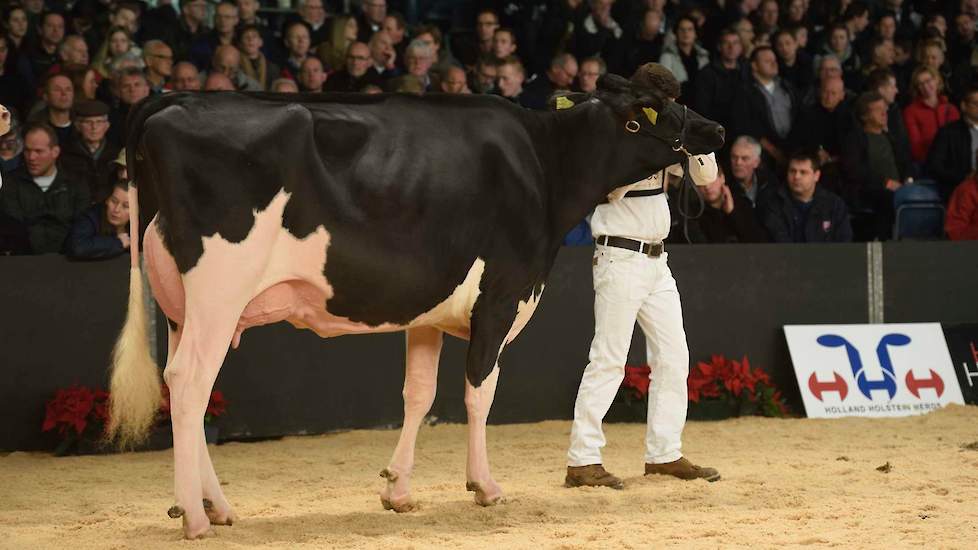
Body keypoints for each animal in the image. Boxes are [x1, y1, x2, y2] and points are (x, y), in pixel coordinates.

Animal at [107, 72, 720, 540]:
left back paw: (217, 507)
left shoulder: (428, 310)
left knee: (184, 388)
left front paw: (398, 491)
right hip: (219, 290)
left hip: (181, 307)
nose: (713, 128)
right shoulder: (500, 297)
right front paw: (484, 487)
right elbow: (479, 392)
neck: (545, 166)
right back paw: (194, 517)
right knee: (190, 383)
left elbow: (418, 394)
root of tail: (169, 102)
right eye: (655, 112)